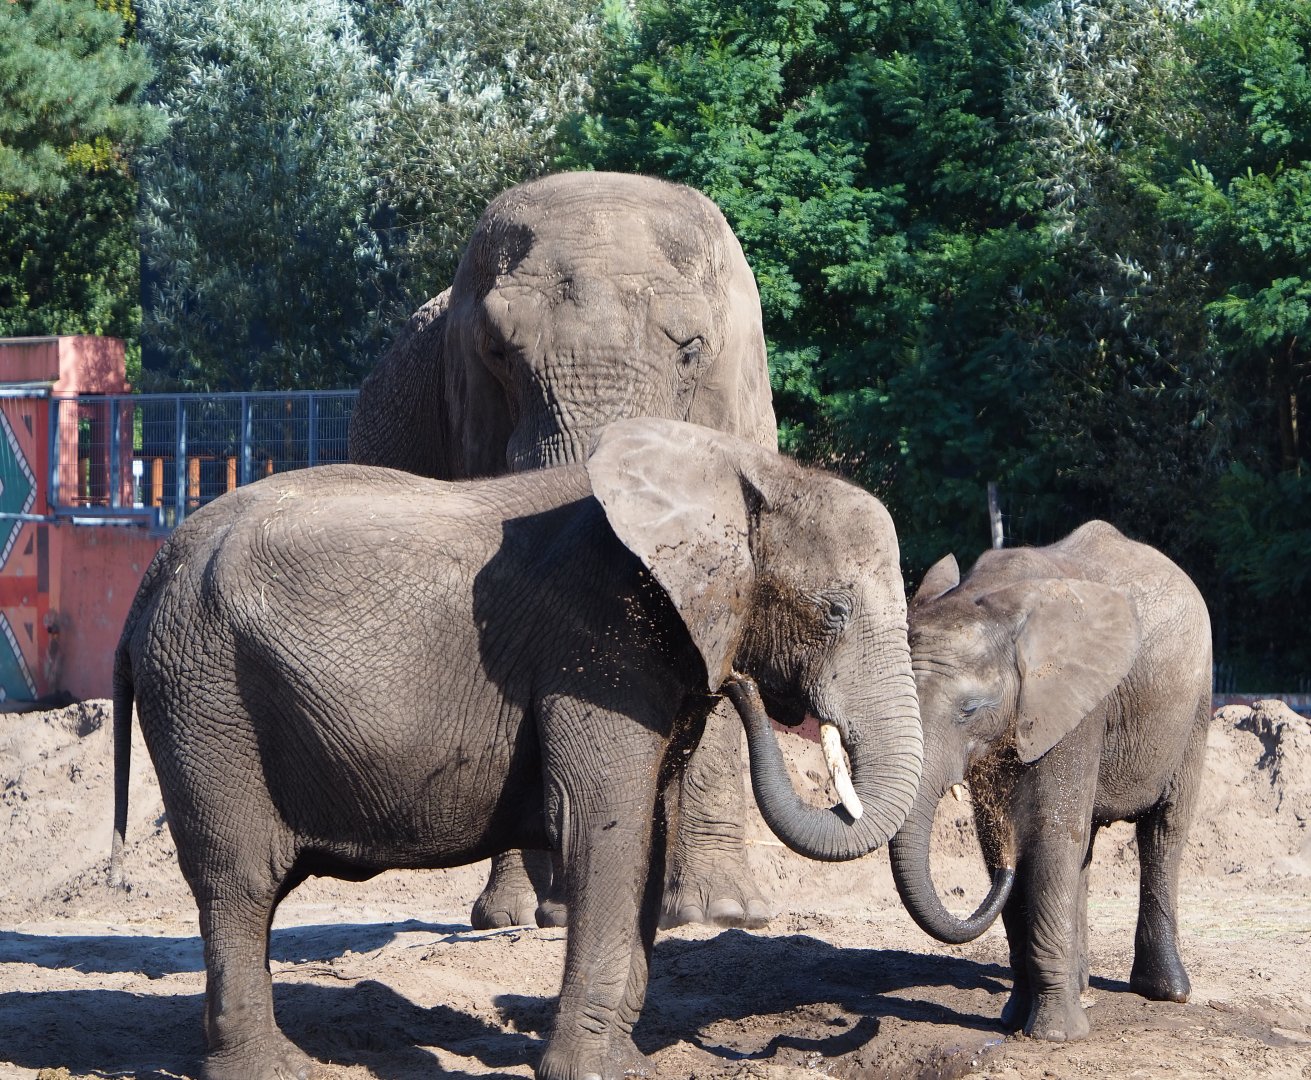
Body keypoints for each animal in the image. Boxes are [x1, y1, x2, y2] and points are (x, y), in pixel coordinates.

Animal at [110, 418, 923, 1080]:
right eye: (833, 611)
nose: (745, 685)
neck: (737, 472)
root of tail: (150, 574)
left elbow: (649, 833)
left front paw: (629, 1066)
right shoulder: (595, 647)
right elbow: (603, 828)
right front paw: (588, 1073)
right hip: (207, 699)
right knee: (240, 877)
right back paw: (276, 1070)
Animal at [887, 520, 1211, 1042]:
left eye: (970, 710)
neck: (990, 598)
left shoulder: (1076, 705)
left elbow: (1048, 836)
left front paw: (1056, 1036)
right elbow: (1013, 842)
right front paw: (1012, 1019)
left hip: (1195, 705)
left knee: (1163, 832)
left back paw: (1165, 992)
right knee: (1087, 845)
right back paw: (1082, 985)